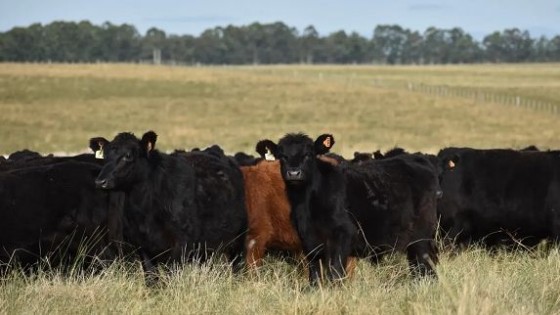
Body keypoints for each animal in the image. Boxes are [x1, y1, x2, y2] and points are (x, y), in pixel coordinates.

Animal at [89, 132, 247, 280]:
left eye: (128, 156)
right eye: (105, 156)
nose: (100, 182)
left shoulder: (181, 244)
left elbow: (172, 273)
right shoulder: (142, 244)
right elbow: (151, 276)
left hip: (238, 238)